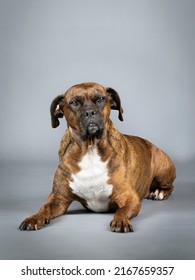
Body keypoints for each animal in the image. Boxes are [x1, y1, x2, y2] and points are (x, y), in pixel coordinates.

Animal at [19, 82, 176, 232]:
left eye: (101, 99)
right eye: (74, 103)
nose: (90, 112)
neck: (90, 148)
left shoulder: (129, 198)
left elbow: (122, 210)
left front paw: (121, 221)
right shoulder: (58, 199)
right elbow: (44, 208)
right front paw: (34, 218)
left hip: (162, 167)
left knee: (170, 186)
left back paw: (159, 192)